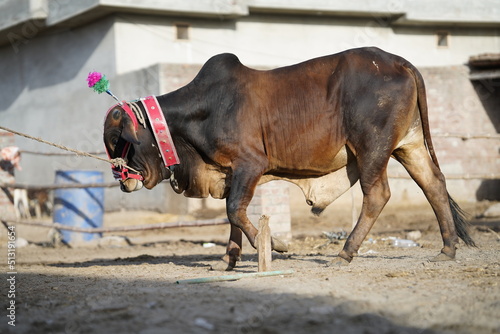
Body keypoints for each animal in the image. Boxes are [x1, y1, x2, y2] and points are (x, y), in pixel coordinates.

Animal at [102, 47, 476, 270]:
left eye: (118, 140)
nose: (122, 180)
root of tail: (397, 60)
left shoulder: (249, 164)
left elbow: (234, 210)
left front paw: (276, 245)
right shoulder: (230, 172)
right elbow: (232, 217)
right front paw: (228, 259)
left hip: (372, 147)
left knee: (378, 194)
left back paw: (346, 252)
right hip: (408, 145)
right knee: (434, 184)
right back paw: (447, 248)